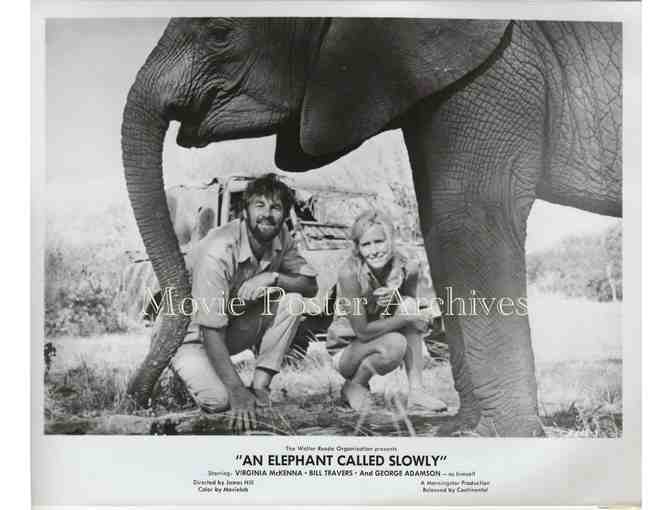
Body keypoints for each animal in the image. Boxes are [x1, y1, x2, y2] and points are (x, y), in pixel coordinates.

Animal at [121, 18, 622, 437]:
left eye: (219, 33)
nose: (142, 408)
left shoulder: (497, 71)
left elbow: (462, 222)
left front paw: (491, 435)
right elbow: (448, 222)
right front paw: (471, 430)